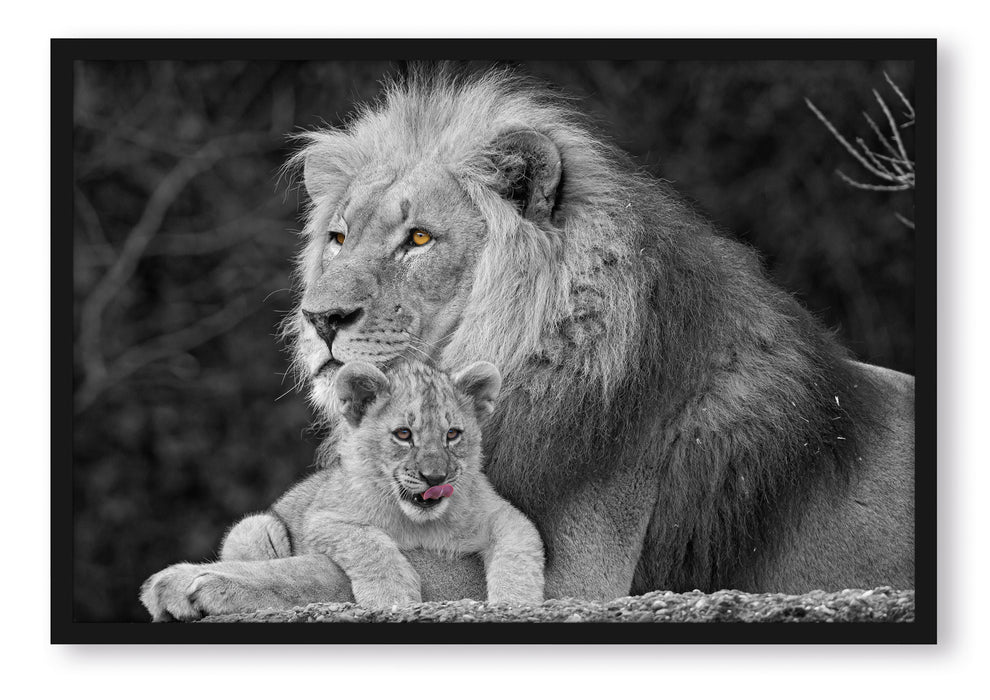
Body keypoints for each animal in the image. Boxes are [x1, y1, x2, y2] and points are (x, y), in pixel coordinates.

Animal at [140, 359, 544, 620]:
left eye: (452, 434)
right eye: (403, 434)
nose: (434, 477)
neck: (422, 523)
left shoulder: (503, 514)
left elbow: (520, 551)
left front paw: (516, 603)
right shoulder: (325, 518)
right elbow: (369, 544)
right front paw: (392, 596)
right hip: (255, 527)